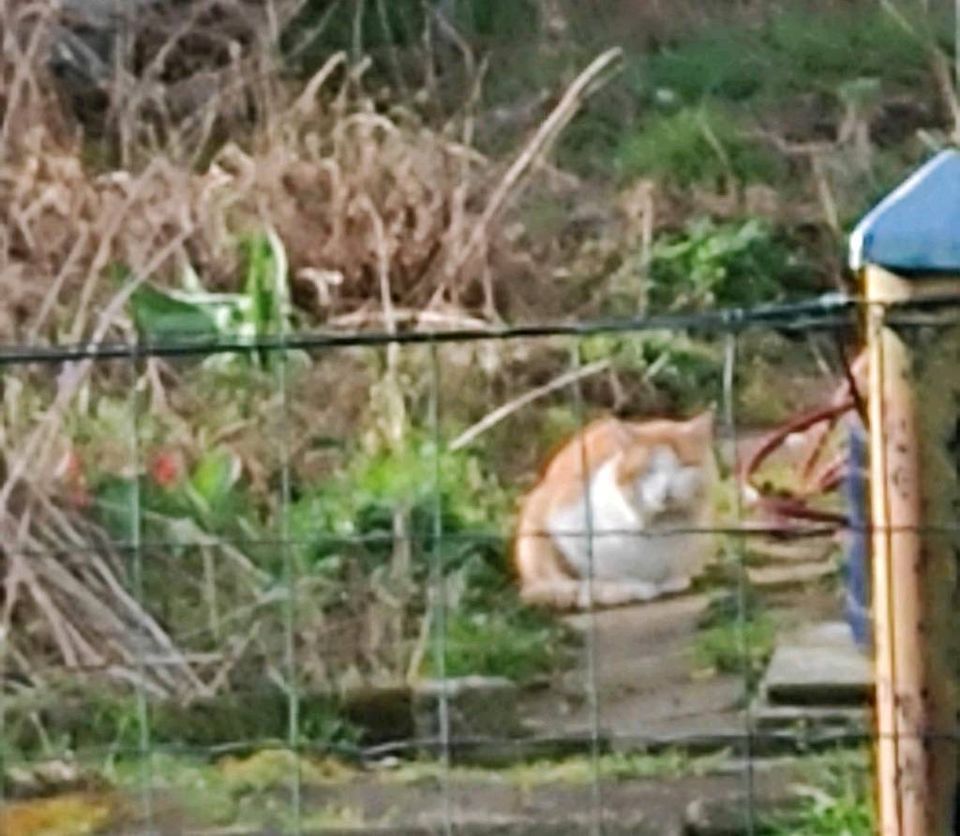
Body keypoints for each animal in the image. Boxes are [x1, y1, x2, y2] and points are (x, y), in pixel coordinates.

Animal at [512, 410, 716, 612]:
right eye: (648, 470)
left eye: (683, 466)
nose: (667, 490)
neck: (662, 525)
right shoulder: (568, 526)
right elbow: (600, 573)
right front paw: (626, 588)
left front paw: (673, 580)